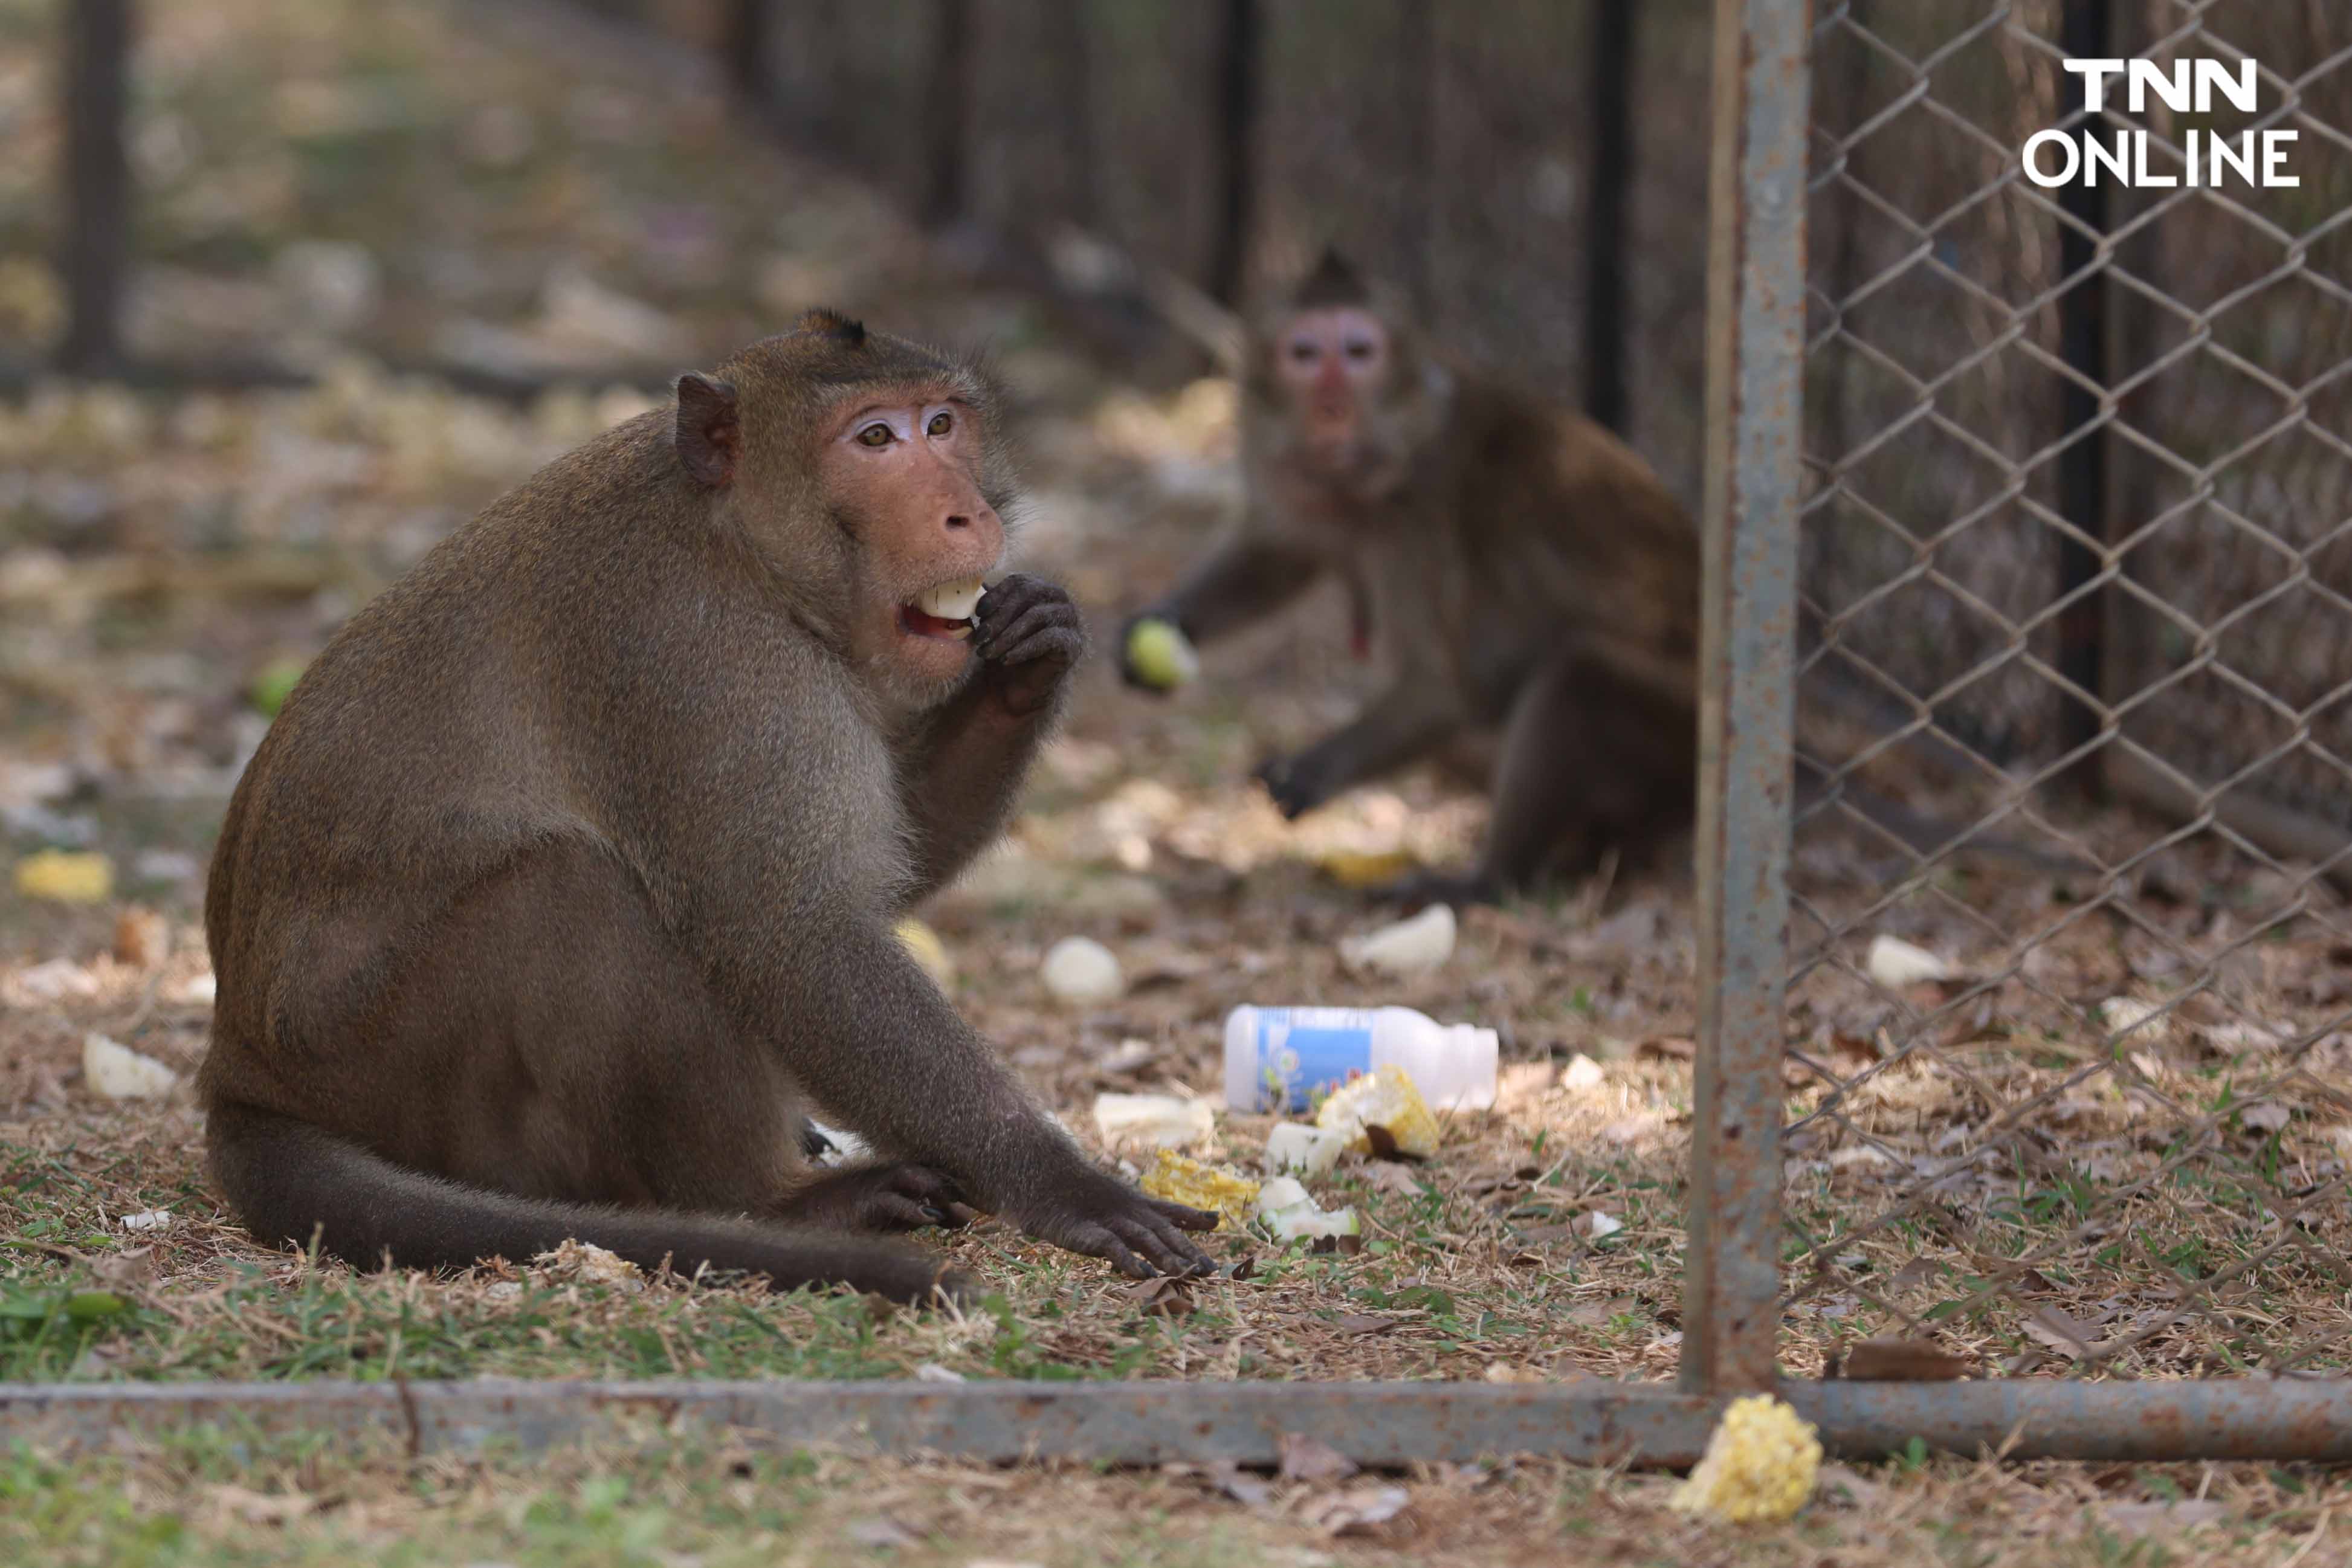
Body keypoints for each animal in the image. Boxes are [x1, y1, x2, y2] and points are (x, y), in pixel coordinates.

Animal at [199, 312, 1213, 1307]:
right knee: (570, 889)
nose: (969, 512)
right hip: (392, 1069)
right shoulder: (701, 661)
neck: (742, 547)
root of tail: (240, 1069)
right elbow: (790, 932)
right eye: (874, 439)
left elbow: (883, 873)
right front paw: (1064, 1182)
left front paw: (1028, 657)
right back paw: (772, 1203)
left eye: (942, 425)